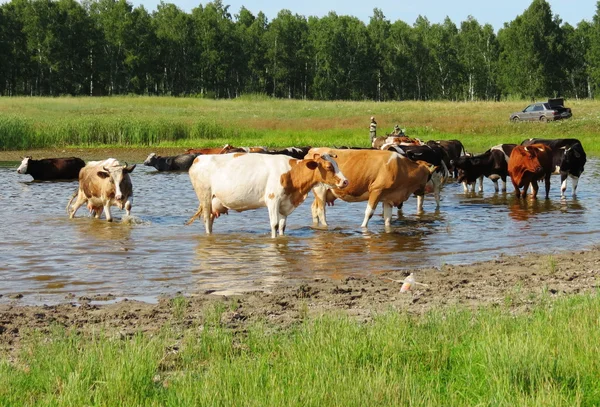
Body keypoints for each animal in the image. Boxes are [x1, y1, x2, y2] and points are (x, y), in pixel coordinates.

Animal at [188, 152, 346, 239]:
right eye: (329, 167)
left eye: (337, 164)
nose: (346, 181)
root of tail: (199, 158)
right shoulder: (273, 200)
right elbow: (274, 224)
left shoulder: (285, 203)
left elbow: (282, 225)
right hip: (205, 197)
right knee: (207, 220)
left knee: (210, 220)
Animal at [308, 147, 438, 230]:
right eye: (429, 176)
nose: (424, 191)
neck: (402, 168)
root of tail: (313, 150)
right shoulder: (376, 190)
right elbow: (369, 213)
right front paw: (363, 227)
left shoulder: (388, 197)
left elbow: (388, 218)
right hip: (320, 190)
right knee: (321, 211)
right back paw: (325, 226)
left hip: (325, 192)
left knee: (314, 208)